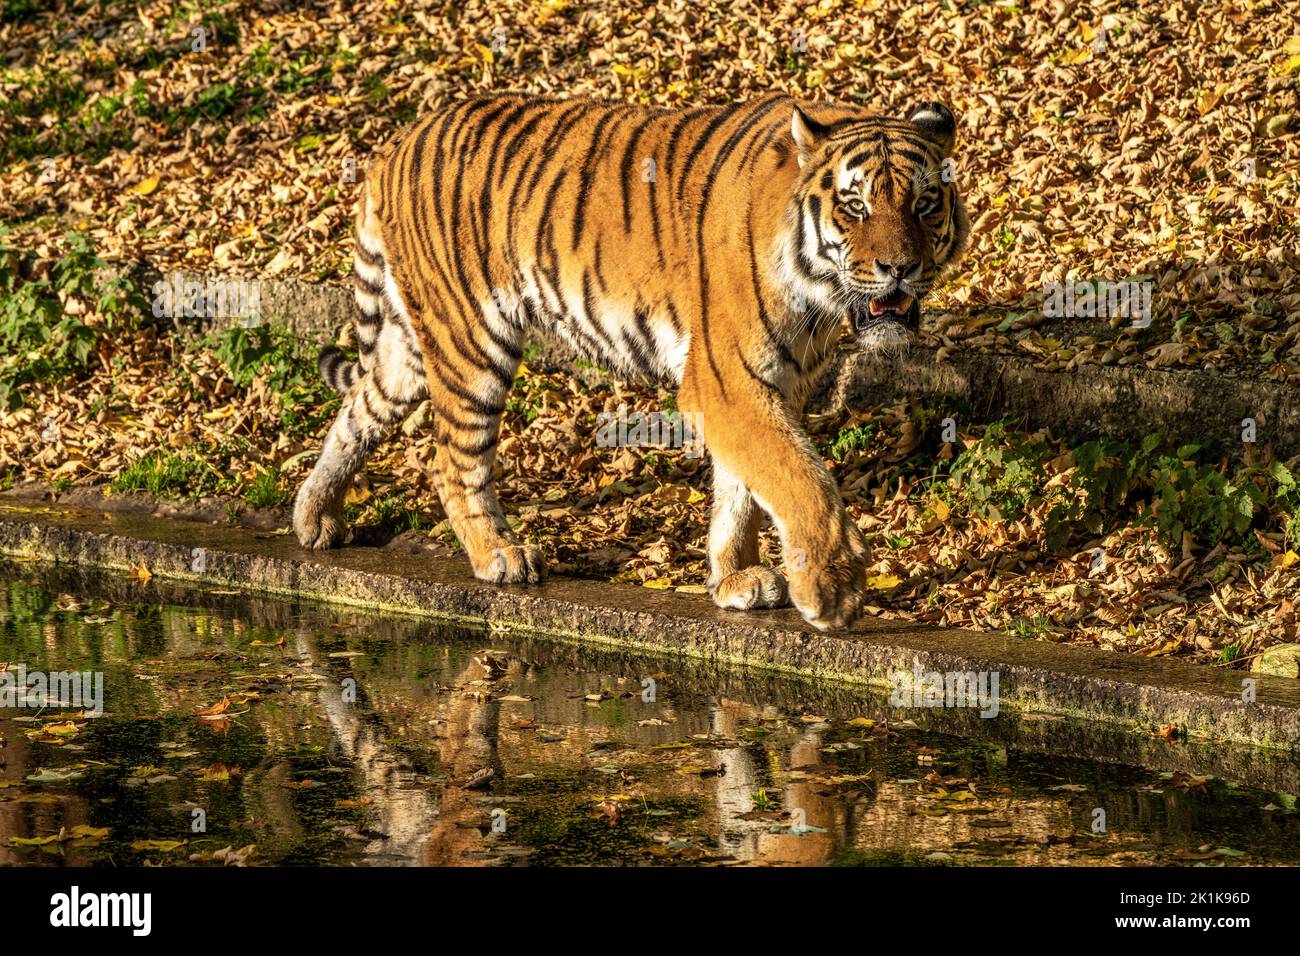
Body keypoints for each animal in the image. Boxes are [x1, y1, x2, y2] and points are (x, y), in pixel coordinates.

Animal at [293, 93, 969, 631]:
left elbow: (745, 488)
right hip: (472, 341)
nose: (900, 267)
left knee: (357, 407)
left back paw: (315, 518)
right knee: (451, 460)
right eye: (856, 207)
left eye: (924, 204)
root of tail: (396, 143)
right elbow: (799, 478)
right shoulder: (725, 381)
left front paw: (735, 579)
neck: (819, 298)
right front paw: (832, 588)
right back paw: (498, 555)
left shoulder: (775, 383)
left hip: (411, 346)